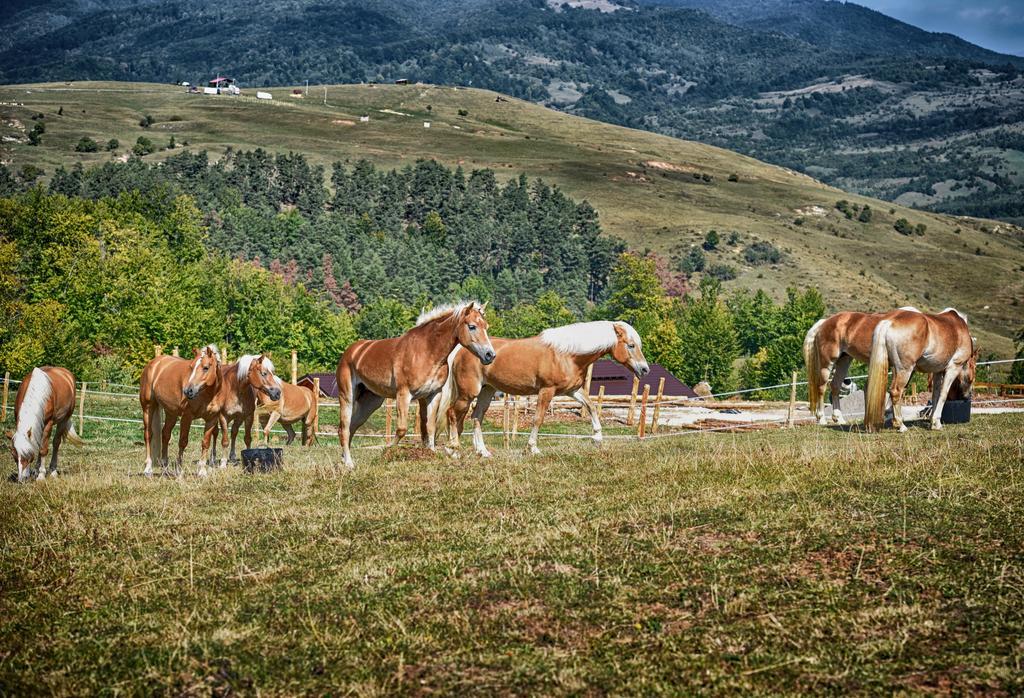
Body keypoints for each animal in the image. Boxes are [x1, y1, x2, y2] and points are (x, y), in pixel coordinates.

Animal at [139, 345, 223, 474]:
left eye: (206, 368)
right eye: (191, 367)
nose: (188, 391)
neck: (207, 395)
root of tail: (154, 363)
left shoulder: (212, 419)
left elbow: (206, 443)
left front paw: (202, 471)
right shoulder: (186, 417)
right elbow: (183, 441)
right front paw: (179, 469)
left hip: (171, 413)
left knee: (165, 434)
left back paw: (165, 466)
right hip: (148, 408)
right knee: (148, 435)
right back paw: (148, 468)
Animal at [335, 300, 495, 466]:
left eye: (486, 326)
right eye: (472, 326)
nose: (490, 355)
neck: (427, 351)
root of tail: (352, 352)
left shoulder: (434, 394)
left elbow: (430, 427)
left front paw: (430, 453)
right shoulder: (404, 394)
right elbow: (402, 429)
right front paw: (388, 451)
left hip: (370, 402)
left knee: (351, 427)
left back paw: (344, 459)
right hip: (347, 397)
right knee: (344, 428)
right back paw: (349, 464)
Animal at [432, 319, 647, 456]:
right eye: (630, 345)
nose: (644, 369)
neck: (567, 354)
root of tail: (461, 350)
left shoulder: (572, 390)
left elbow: (591, 407)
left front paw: (597, 438)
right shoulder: (547, 391)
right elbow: (538, 418)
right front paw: (532, 448)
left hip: (487, 390)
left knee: (476, 417)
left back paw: (482, 452)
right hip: (468, 393)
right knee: (453, 414)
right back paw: (452, 449)